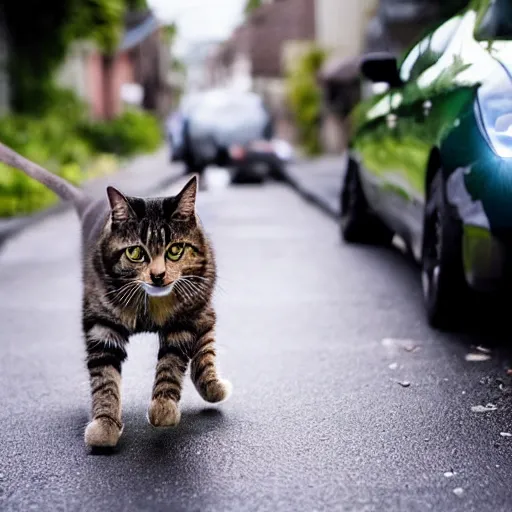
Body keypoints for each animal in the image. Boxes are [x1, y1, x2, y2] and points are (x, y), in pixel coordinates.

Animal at [0, 142, 232, 446]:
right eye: (135, 253)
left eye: (175, 250)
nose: (158, 276)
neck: (150, 302)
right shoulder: (102, 327)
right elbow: (105, 379)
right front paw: (105, 423)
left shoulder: (182, 323)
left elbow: (171, 365)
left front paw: (163, 407)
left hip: (200, 301)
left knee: (205, 339)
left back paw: (212, 385)